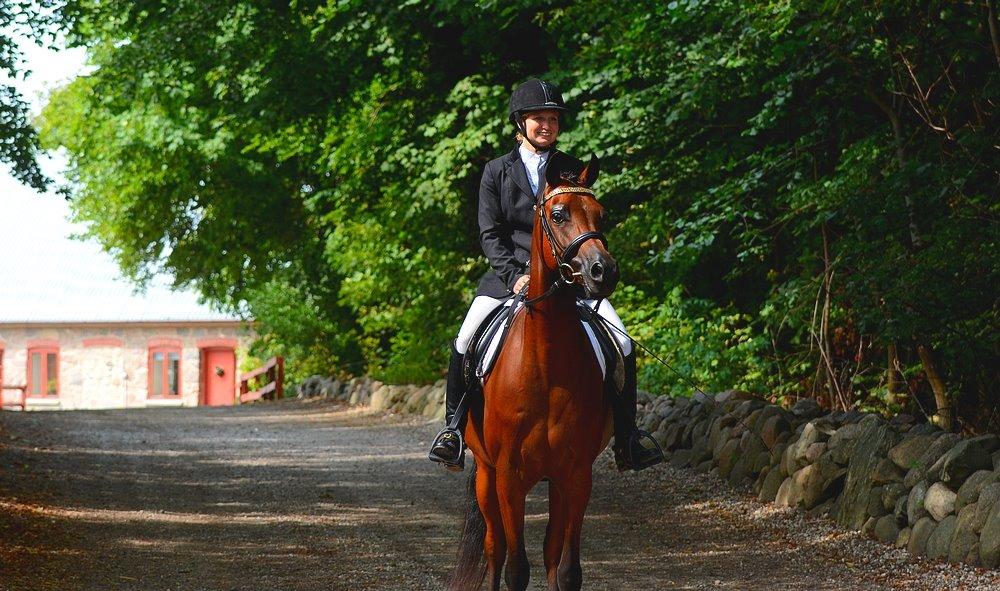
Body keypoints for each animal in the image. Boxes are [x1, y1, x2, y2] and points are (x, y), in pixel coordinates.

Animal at [448, 154, 616, 591]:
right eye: (558, 215)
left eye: (601, 214)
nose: (603, 272)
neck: (546, 362)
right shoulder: (509, 475)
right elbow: (515, 568)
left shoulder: (576, 473)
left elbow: (567, 569)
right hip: (486, 475)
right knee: (495, 549)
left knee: (551, 553)